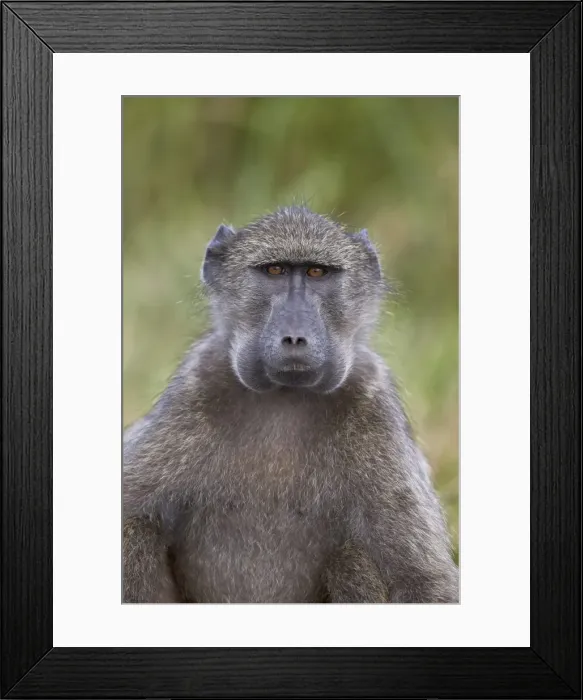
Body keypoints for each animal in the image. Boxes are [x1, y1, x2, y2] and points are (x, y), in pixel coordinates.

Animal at [123, 206, 459, 604]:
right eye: (274, 270)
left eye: (317, 273)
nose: (295, 337)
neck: (285, 394)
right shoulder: (195, 386)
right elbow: (130, 514)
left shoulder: (374, 402)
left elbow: (423, 579)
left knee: (351, 557)